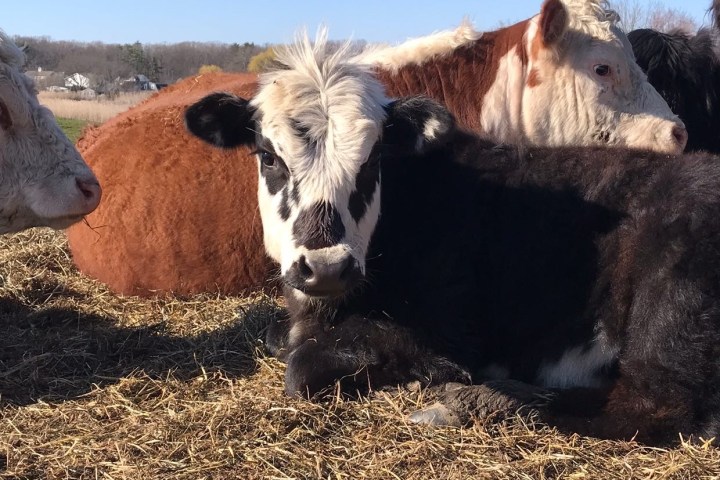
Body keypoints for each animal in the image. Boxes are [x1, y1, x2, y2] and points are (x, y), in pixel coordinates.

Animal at [186, 31, 720, 445]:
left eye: (372, 159)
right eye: (268, 155)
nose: (327, 266)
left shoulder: (442, 331)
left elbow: (301, 366)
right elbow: (278, 338)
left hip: (667, 306)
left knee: (652, 407)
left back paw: (480, 399)